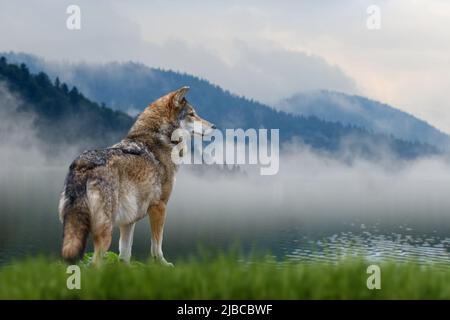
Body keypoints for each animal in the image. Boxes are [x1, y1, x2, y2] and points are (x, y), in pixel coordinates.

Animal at [57, 87, 214, 264]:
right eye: (192, 114)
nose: (214, 126)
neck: (161, 138)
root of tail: (83, 165)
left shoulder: (129, 221)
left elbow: (125, 254)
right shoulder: (159, 207)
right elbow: (156, 246)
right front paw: (163, 265)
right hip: (105, 232)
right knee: (95, 264)